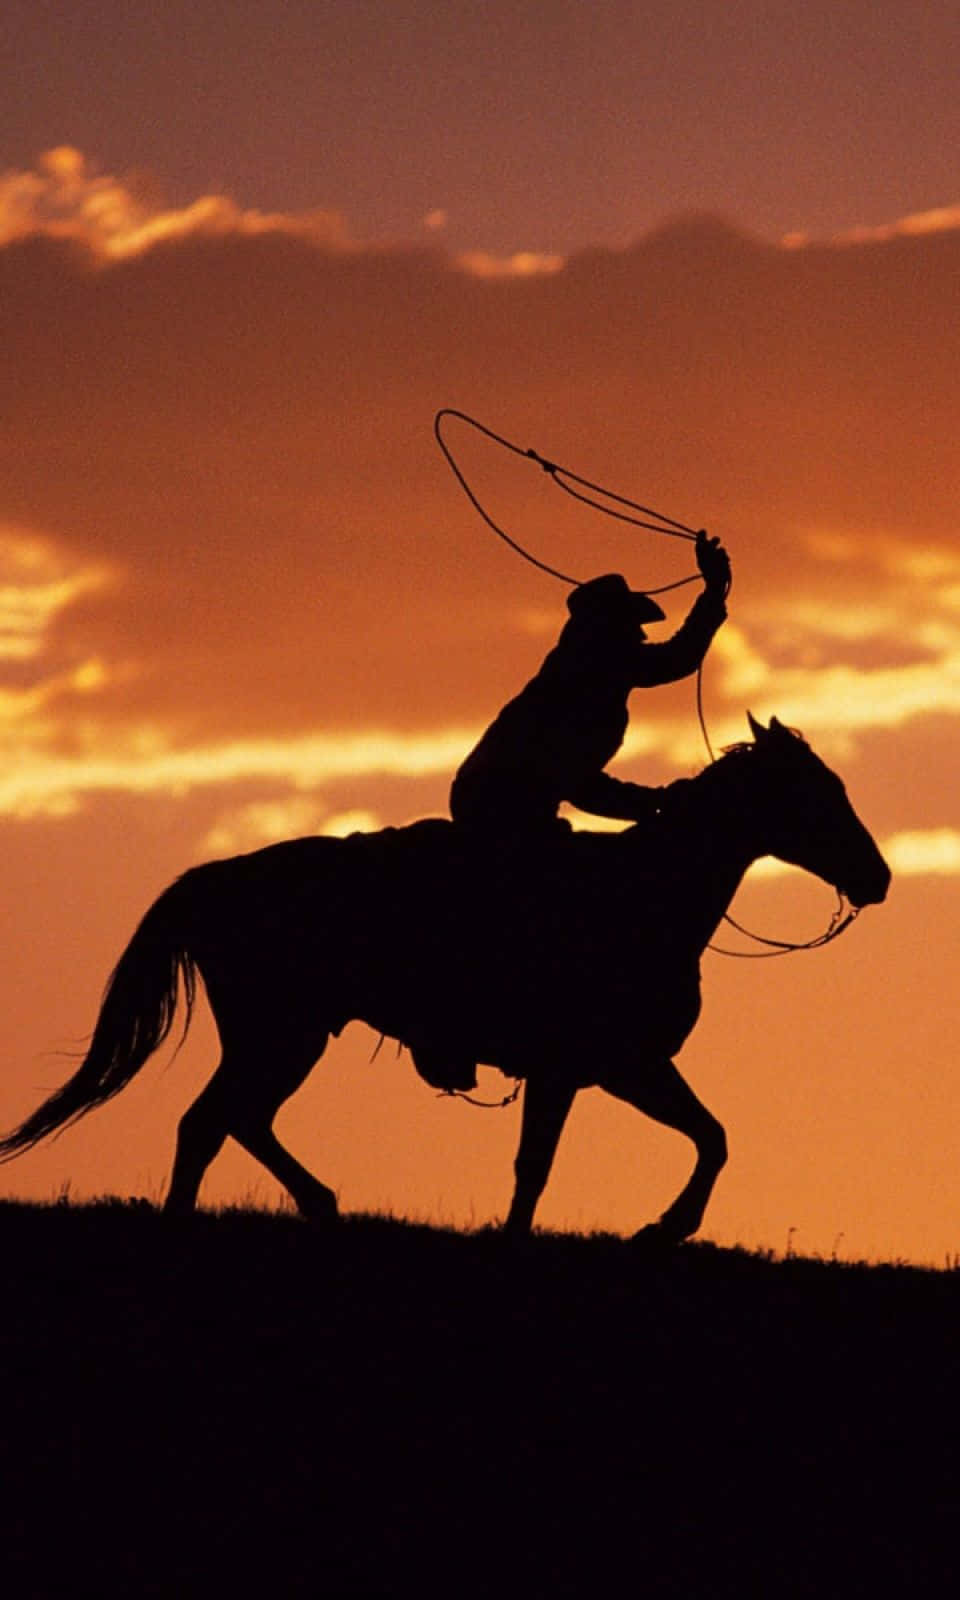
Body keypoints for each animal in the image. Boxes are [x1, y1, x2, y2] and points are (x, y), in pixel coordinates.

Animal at [0, 715, 890, 1242]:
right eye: (817, 794)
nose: (878, 877)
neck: (643, 895)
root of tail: (216, 877)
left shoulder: (627, 1068)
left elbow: (712, 1136)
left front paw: (662, 1228)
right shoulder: (579, 1070)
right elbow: (540, 1166)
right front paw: (635, 1230)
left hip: (283, 1038)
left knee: (229, 1121)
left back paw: (310, 1206)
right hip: (280, 1034)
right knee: (212, 1121)